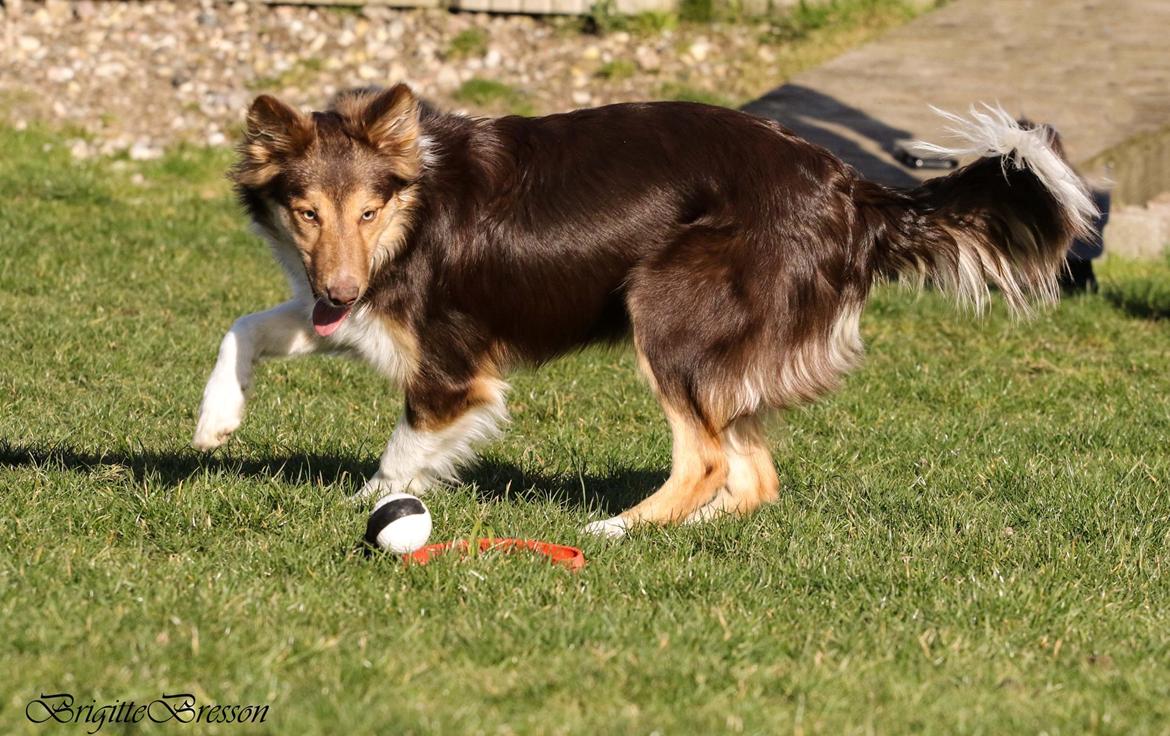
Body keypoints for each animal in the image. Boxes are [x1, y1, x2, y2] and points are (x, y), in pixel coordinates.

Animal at [189, 84, 1095, 533]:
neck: (417, 205)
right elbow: (247, 326)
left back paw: (614, 534)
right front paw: (216, 421)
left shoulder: (450, 367)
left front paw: (363, 510)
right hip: (724, 348)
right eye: (308, 213)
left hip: (667, 311)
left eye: (368, 211)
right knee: (752, 474)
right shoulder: (355, 315)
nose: (339, 291)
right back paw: (688, 529)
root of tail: (858, 189)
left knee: (705, 460)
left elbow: (402, 454)